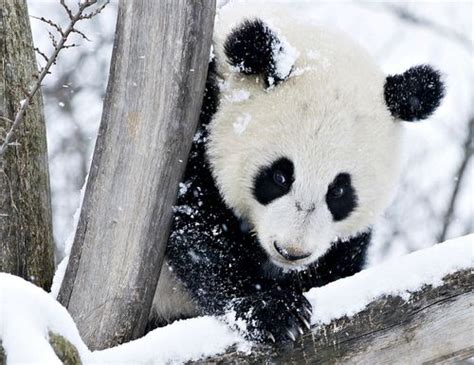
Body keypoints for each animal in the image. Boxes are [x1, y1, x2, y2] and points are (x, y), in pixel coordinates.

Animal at [148, 4, 444, 342]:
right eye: (279, 177)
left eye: (339, 191)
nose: (291, 251)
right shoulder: (196, 124)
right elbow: (198, 225)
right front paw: (275, 311)